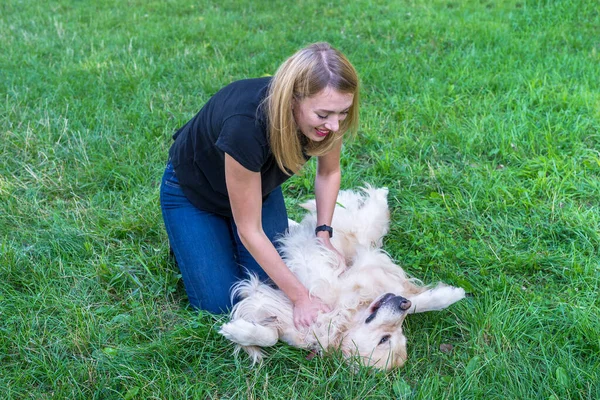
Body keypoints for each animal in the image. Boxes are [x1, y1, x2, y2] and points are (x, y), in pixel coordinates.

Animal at [218, 186, 466, 370]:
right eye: (384, 339)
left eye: (398, 332)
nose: (401, 303)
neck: (346, 314)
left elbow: (271, 335)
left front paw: (240, 331)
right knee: (370, 210)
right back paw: (382, 193)